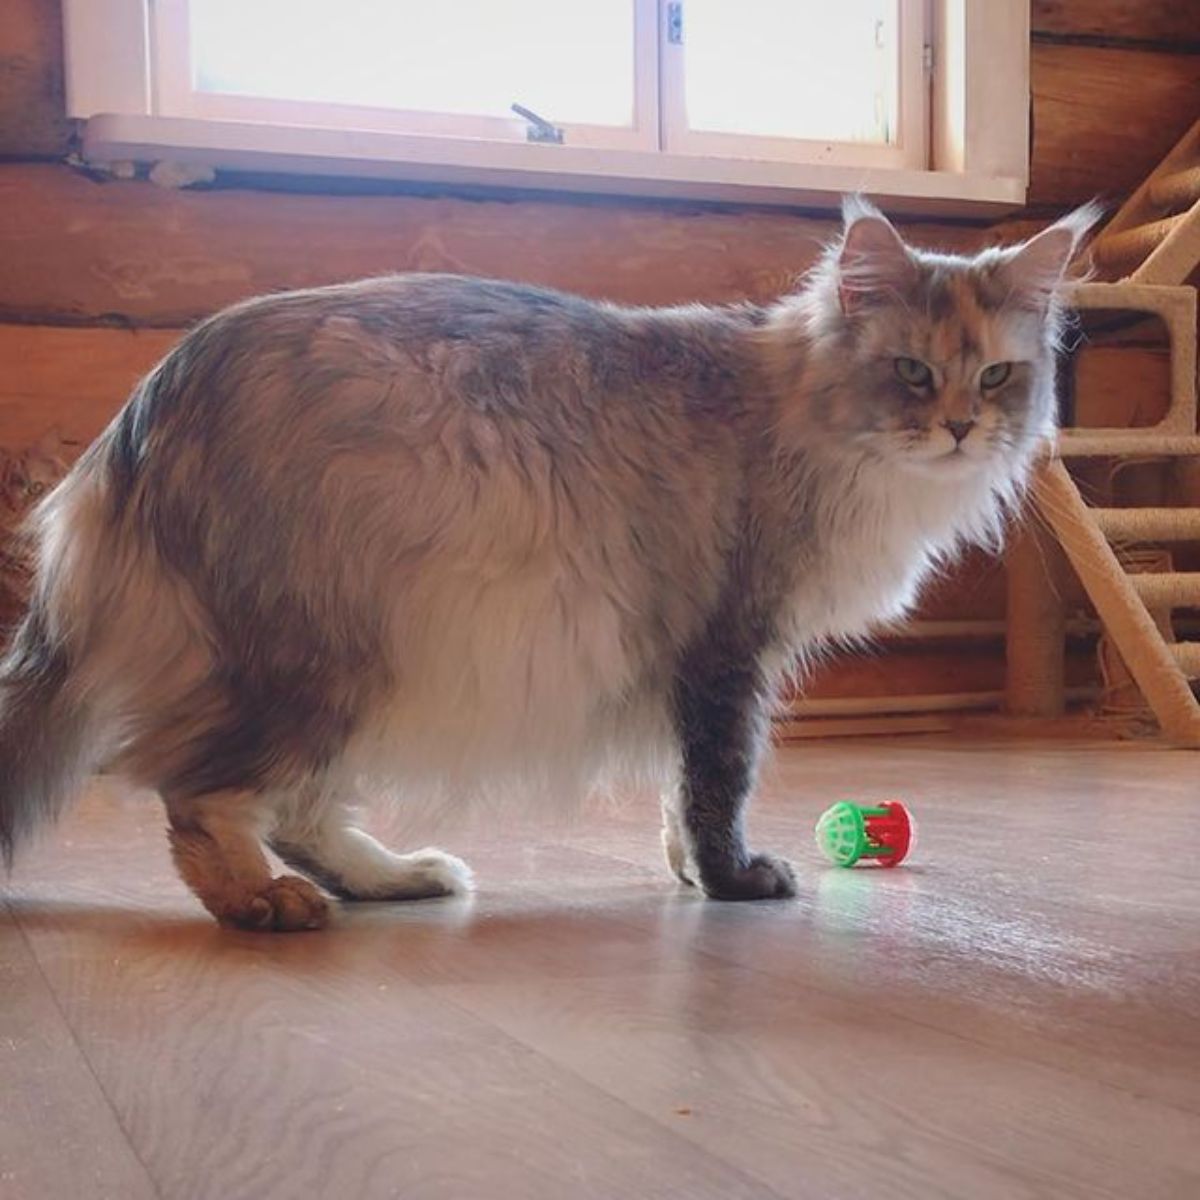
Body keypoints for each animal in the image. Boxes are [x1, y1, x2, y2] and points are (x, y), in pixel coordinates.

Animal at [0, 199, 1099, 926]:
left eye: (997, 377)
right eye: (912, 372)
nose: (959, 430)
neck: (800, 414)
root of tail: (144, 410)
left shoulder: (698, 662)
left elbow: (680, 791)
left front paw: (689, 874)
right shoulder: (728, 649)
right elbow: (718, 781)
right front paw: (732, 881)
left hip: (359, 665)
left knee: (294, 807)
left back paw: (392, 879)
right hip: (329, 652)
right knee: (199, 794)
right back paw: (267, 904)